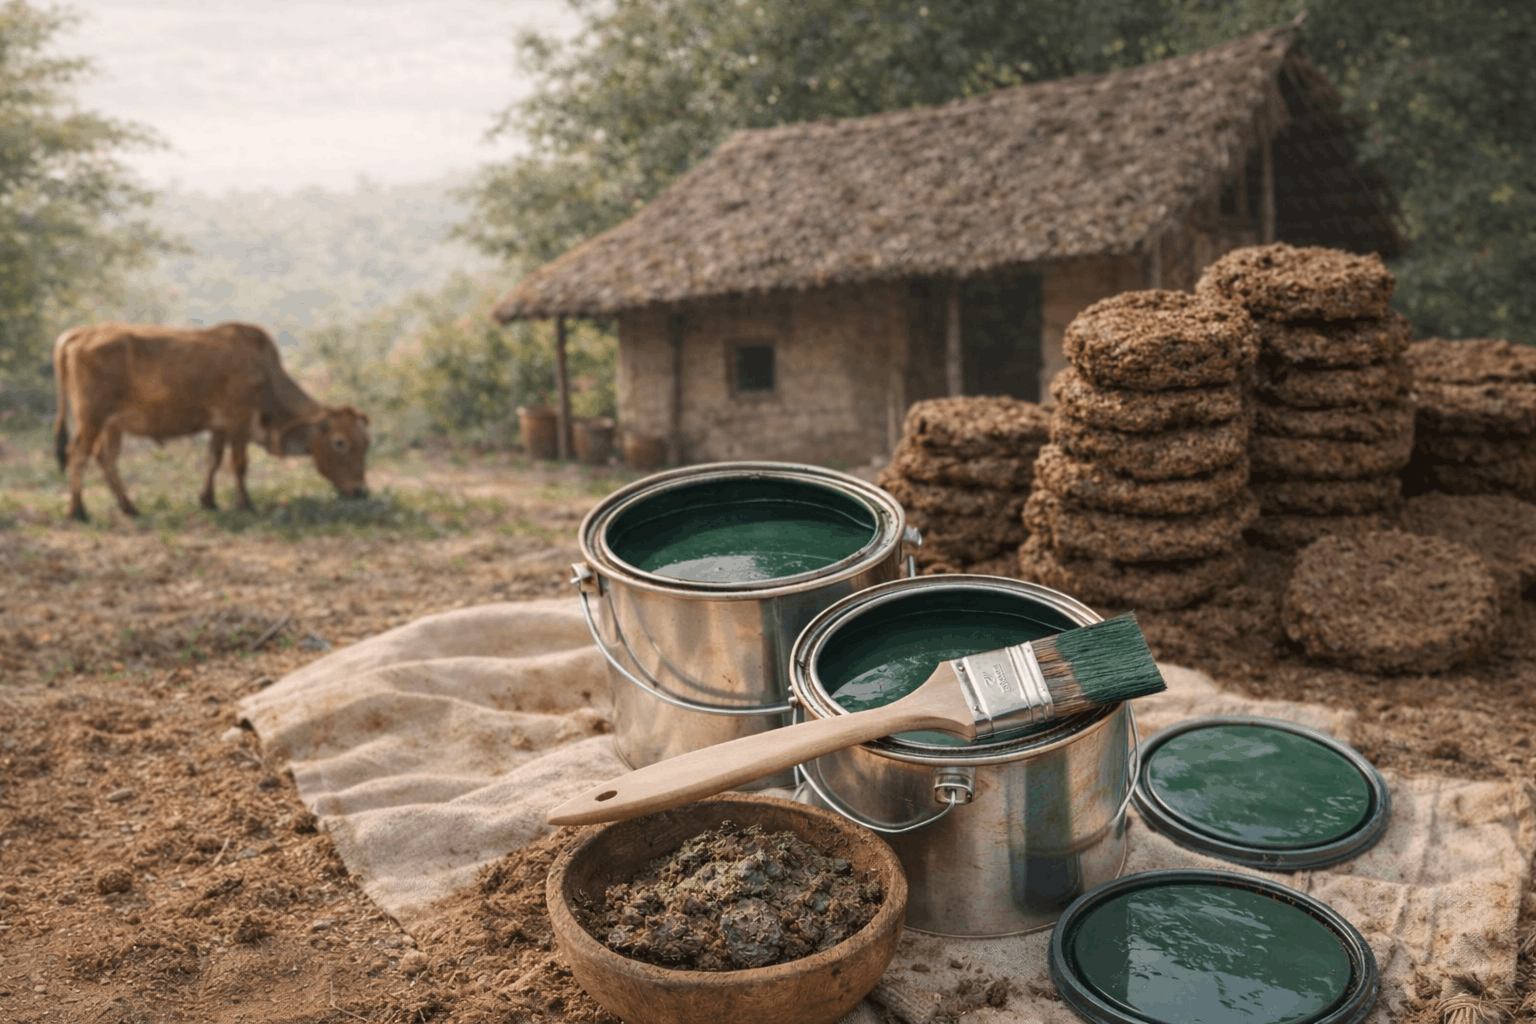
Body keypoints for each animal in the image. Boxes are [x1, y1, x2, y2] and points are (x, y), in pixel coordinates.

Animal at [52, 321, 371, 522]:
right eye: (340, 442)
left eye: (366, 443)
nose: (362, 491)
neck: (266, 375)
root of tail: (80, 333)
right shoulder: (238, 421)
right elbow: (239, 464)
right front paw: (245, 504)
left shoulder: (219, 426)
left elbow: (213, 460)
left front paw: (209, 500)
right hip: (91, 417)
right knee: (77, 455)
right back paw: (77, 511)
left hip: (111, 425)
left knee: (106, 460)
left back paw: (129, 508)